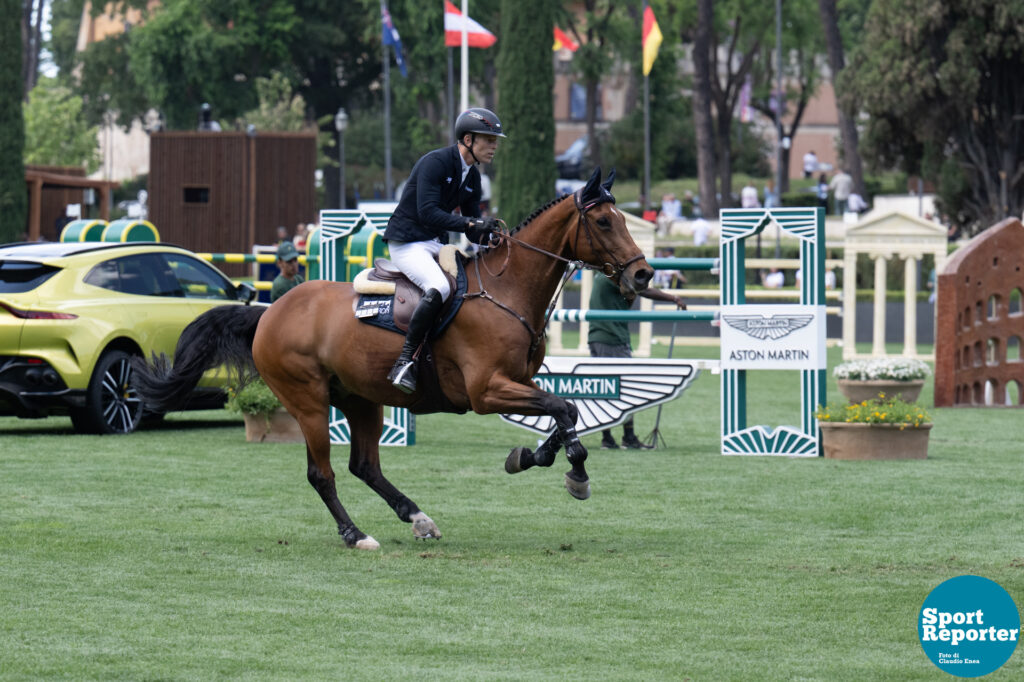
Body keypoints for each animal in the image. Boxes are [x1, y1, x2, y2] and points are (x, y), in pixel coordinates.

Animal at [132, 166, 651, 548]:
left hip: (361, 399)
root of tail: (268, 312)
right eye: (604, 222)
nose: (643, 275)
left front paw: (533, 456)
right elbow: (564, 410)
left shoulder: (519, 383)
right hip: (309, 403)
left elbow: (566, 412)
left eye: (625, 219)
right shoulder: (487, 391)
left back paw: (418, 517)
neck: (507, 292)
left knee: (365, 466)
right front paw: (574, 473)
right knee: (321, 473)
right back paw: (355, 535)